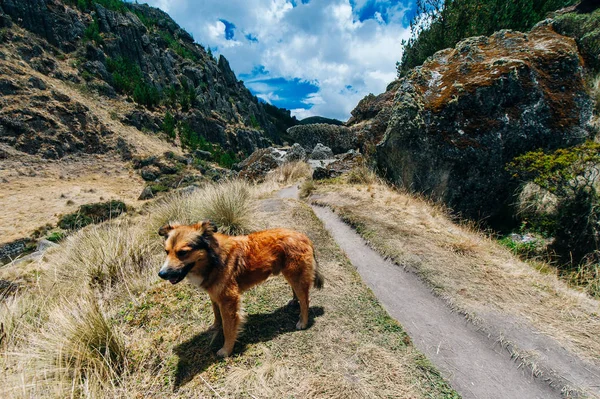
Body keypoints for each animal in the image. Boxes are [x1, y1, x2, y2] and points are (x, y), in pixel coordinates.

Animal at [157, 222, 322, 356]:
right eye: (166, 251)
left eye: (182, 252)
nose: (161, 274)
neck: (213, 260)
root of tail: (304, 237)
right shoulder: (215, 295)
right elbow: (216, 314)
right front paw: (215, 326)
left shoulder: (229, 300)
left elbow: (228, 328)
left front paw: (226, 350)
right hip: (291, 275)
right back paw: (294, 302)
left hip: (295, 275)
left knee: (306, 300)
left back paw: (303, 321)